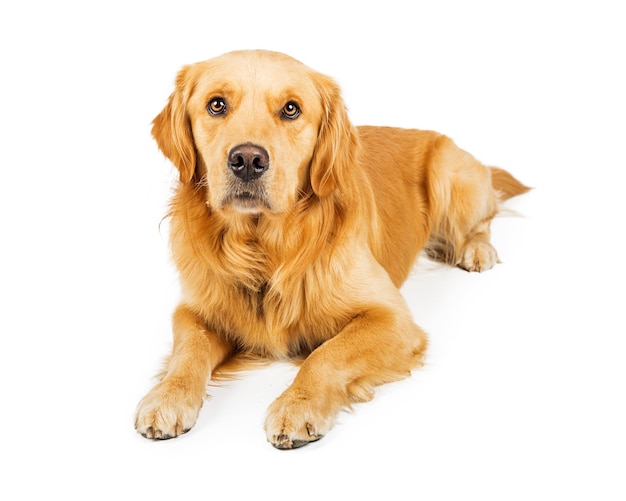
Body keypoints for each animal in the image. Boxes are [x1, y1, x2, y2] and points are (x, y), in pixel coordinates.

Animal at [135, 49, 528, 450]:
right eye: (216, 105)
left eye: (291, 109)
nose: (247, 160)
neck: (264, 248)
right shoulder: (194, 310)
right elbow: (187, 351)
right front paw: (166, 396)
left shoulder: (392, 320)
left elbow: (326, 354)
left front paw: (298, 406)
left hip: (449, 176)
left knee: (484, 219)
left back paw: (476, 251)